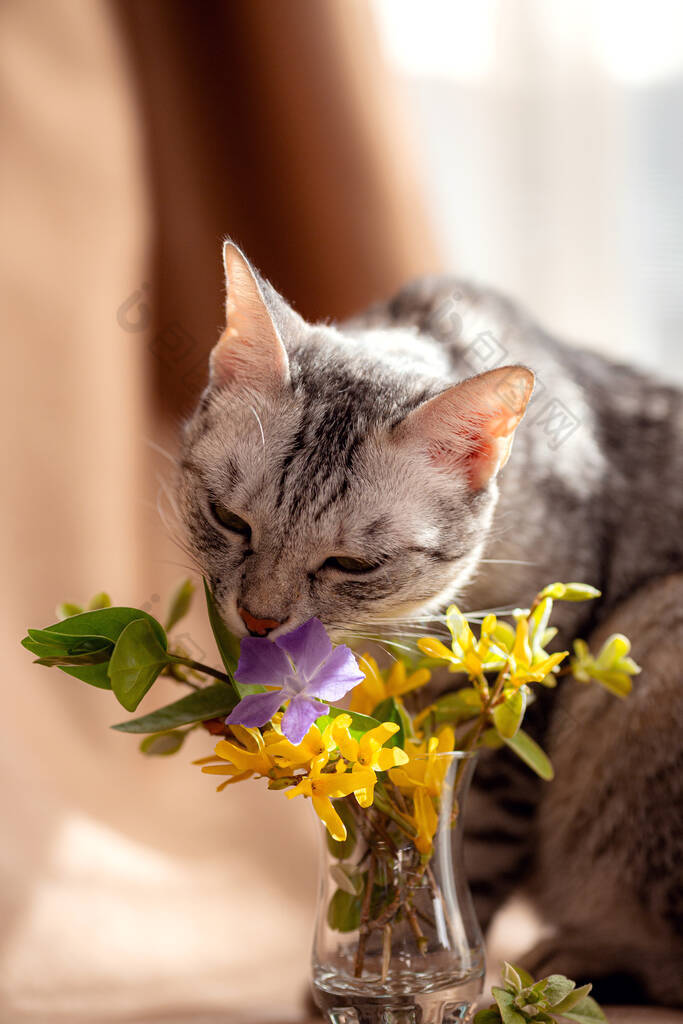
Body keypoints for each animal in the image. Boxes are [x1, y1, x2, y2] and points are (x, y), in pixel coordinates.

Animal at [178, 241, 683, 1007]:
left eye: (352, 564)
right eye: (228, 520)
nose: (259, 619)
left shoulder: (502, 728)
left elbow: (451, 862)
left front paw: (401, 969)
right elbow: (370, 845)